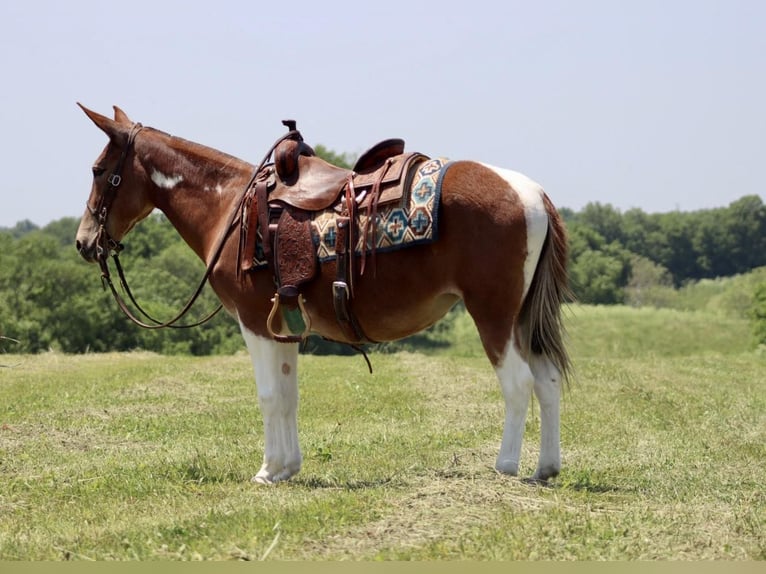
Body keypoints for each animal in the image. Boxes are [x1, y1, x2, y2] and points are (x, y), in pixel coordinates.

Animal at [75, 104, 572, 486]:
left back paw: (506, 466)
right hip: (522, 317)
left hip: (494, 314)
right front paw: (286, 469)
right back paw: (545, 468)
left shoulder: (254, 323)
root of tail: (533, 193)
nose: (83, 242)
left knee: (519, 383)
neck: (231, 208)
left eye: (99, 171)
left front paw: (266, 471)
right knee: (547, 381)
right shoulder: (283, 326)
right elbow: (288, 395)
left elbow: (269, 396)